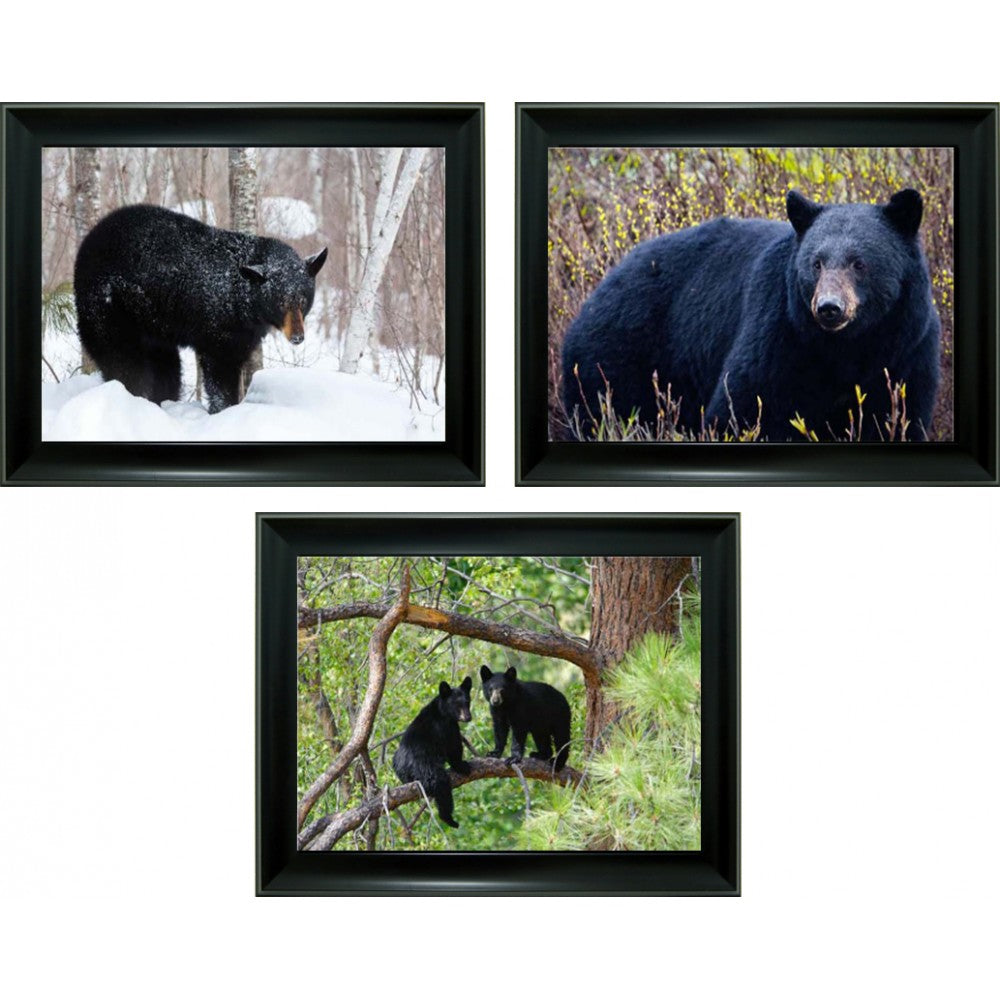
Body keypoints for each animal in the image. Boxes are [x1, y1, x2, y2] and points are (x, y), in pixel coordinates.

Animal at [73, 204, 328, 414]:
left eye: (303, 300)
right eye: (281, 301)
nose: (298, 337)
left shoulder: (244, 333)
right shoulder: (218, 327)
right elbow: (219, 371)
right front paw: (224, 410)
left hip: (152, 327)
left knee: (166, 368)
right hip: (109, 308)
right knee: (122, 361)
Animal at [391, 676, 473, 829]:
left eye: (468, 702)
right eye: (457, 704)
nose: (468, 717)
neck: (441, 711)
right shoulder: (447, 728)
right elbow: (453, 747)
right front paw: (462, 765)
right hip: (427, 767)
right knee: (441, 784)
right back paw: (449, 819)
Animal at [561, 189, 941, 442]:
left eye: (859, 263)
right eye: (816, 263)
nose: (829, 308)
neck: (847, 348)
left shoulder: (908, 349)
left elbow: (899, 416)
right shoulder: (780, 331)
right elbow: (743, 405)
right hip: (618, 356)